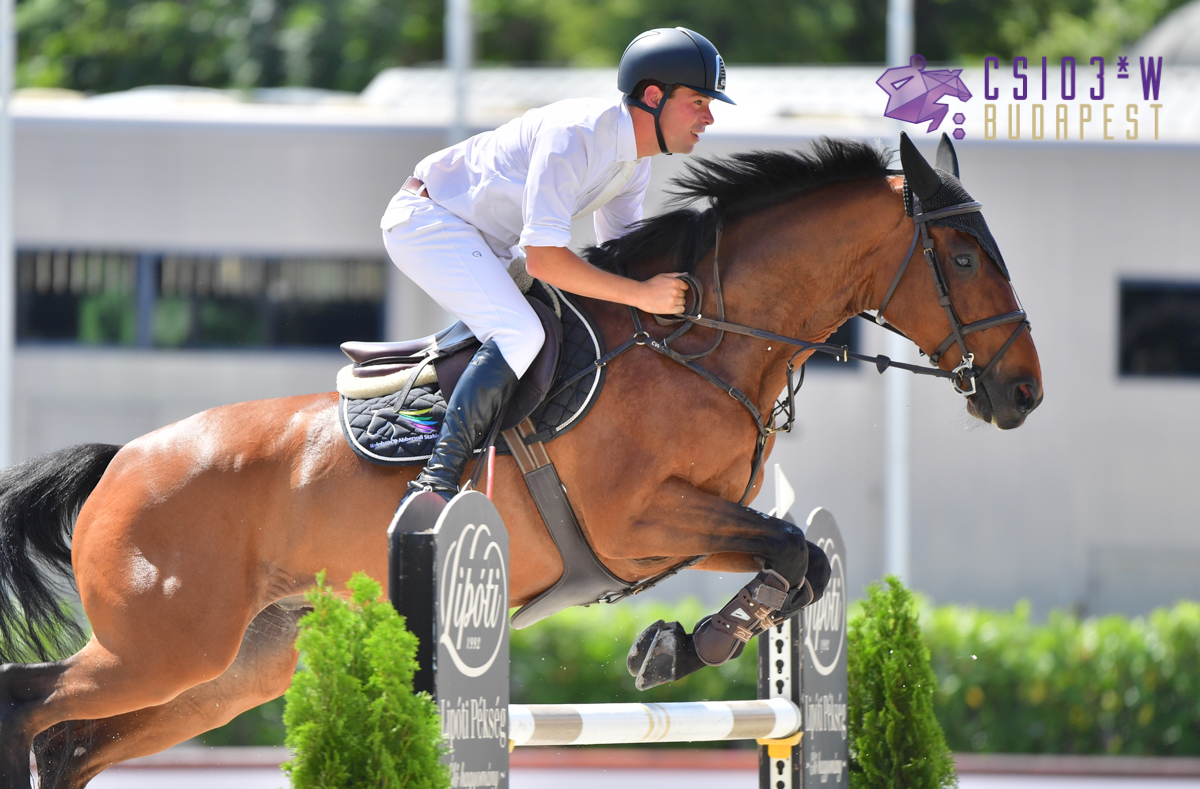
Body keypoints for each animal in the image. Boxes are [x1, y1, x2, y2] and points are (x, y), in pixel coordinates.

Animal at [0, 131, 1036, 781]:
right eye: (964, 256)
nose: (1024, 392)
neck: (698, 343)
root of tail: (121, 461)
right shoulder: (640, 520)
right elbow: (793, 548)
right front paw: (677, 646)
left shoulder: (694, 531)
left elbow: (803, 558)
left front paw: (679, 644)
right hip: (163, 647)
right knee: (30, 703)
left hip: (233, 668)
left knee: (72, 742)